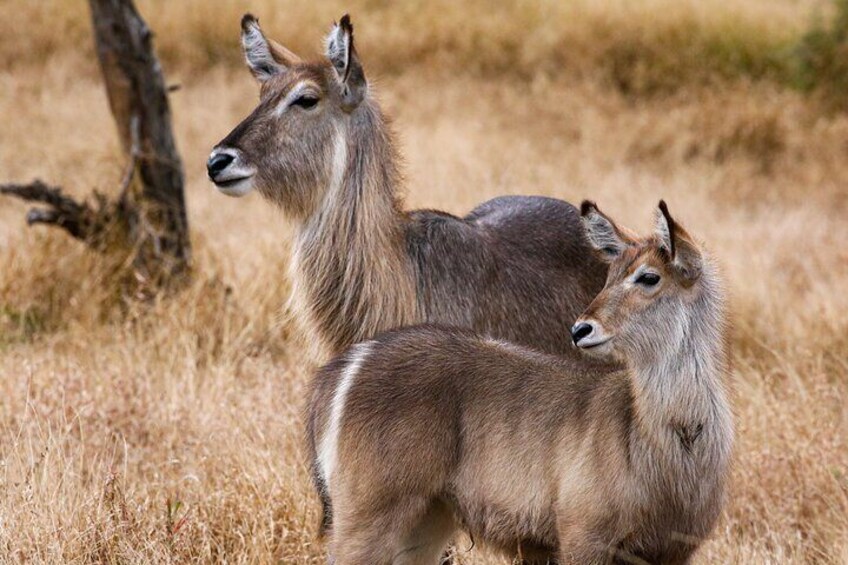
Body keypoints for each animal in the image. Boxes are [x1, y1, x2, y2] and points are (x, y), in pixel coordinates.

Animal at [306, 200, 736, 560]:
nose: (580, 329)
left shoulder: (673, 551)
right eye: (609, 275)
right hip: (369, 517)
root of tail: (350, 362)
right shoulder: (582, 539)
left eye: (648, 277)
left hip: (427, 520)